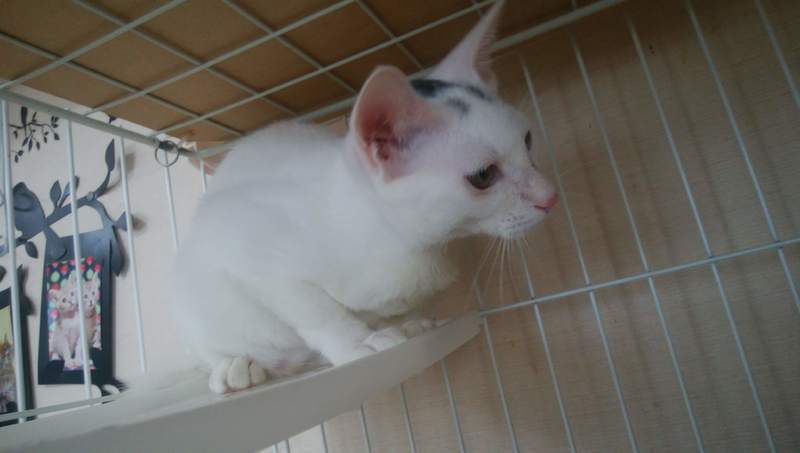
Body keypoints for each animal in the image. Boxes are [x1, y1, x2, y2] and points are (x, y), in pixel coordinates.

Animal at [173, 0, 558, 394]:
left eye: (527, 140)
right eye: (483, 176)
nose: (551, 196)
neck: (402, 244)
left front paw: (402, 323)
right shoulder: (245, 240)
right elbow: (317, 311)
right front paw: (358, 342)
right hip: (192, 293)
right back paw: (236, 366)